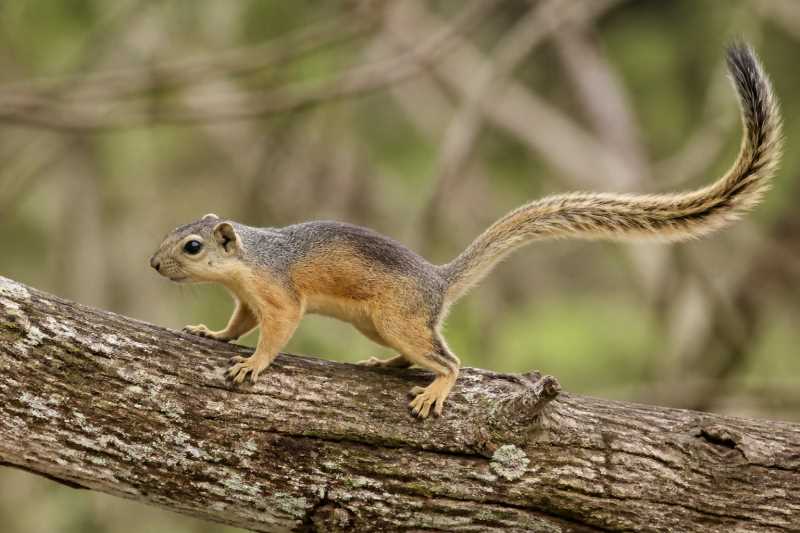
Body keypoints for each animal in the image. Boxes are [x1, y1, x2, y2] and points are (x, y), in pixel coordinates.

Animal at [150, 43, 781, 419]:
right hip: (384, 325)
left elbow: (275, 333)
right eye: (178, 233)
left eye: (192, 246)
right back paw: (385, 367)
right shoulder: (248, 297)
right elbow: (238, 324)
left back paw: (434, 388)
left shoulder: (279, 295)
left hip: (396, 318)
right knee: (422, 354)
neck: (250, 259)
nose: (155, 266)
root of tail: (438, 281)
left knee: (450, 361)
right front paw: (211, 333)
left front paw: (252, 364)